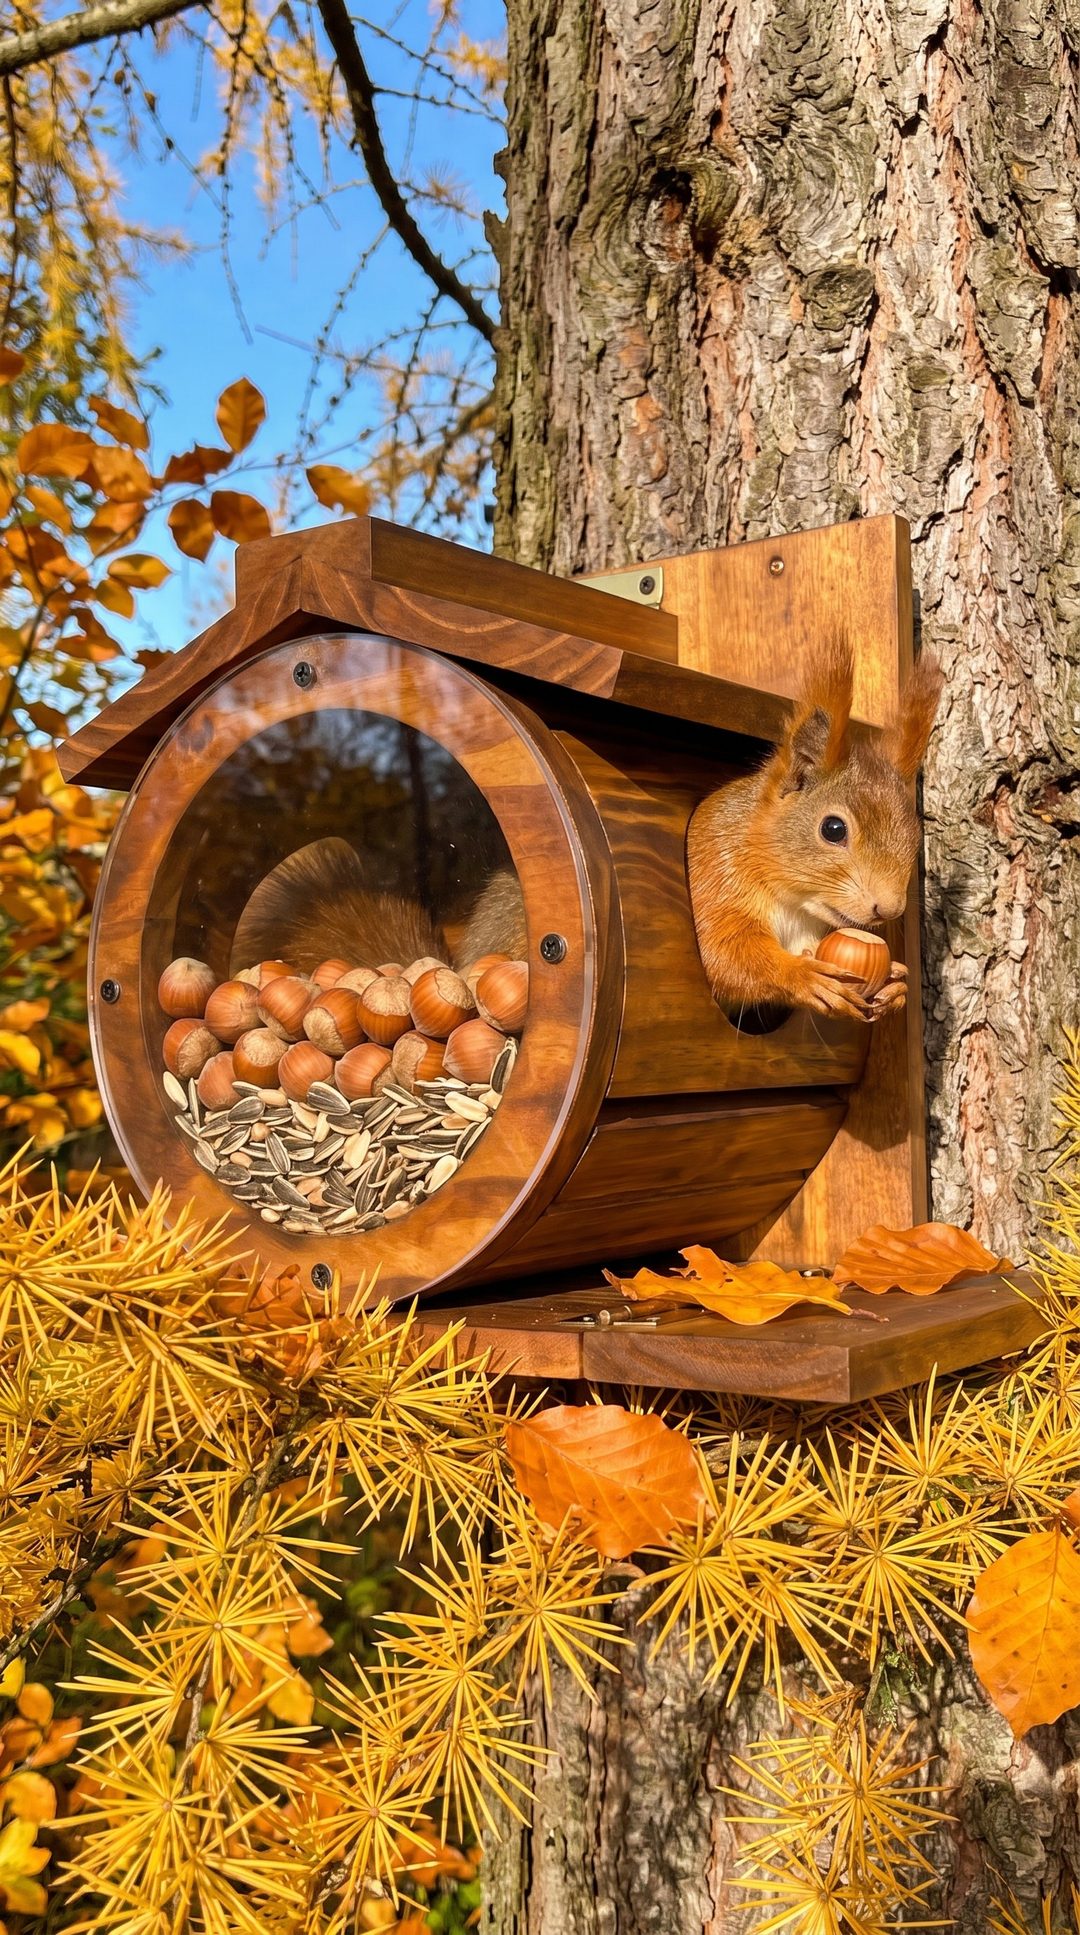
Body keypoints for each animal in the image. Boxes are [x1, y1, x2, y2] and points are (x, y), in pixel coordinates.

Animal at [686, 641, 943, 1024]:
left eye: (915, 837)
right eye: (833, 829)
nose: (889, 909)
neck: (794, 906)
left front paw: (896, 984)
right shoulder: (716, 877)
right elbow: (724, 953)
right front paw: (803, 976)